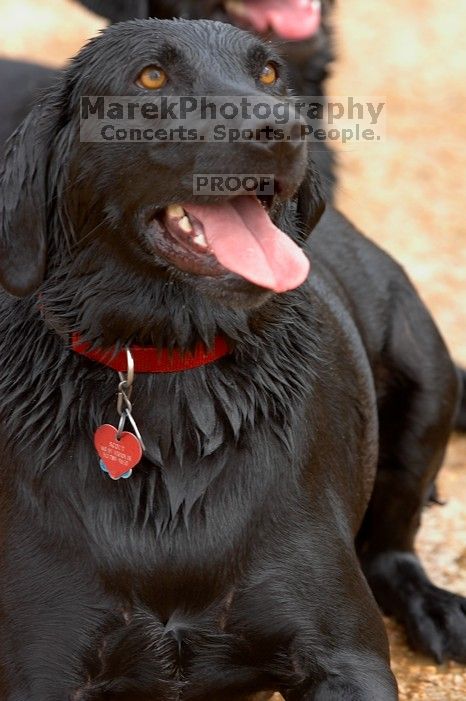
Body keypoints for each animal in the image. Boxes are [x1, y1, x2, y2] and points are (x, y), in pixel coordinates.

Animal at [0, 17, 464, 700]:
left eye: (269, 72)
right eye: (151, 78)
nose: (286, 131)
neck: (170, 377)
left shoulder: (345, 656)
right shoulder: (43, 668)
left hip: (425, 374)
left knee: (391, 547)